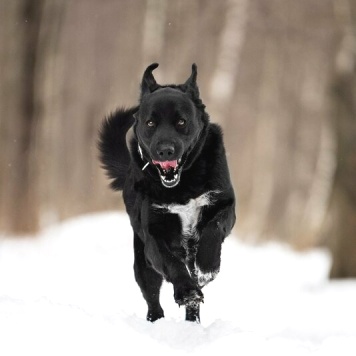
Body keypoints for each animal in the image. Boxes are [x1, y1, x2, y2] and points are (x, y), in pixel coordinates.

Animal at [98, 63, 235, 322]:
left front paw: (208, 267)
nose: (165, 150)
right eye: (150, 123)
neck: (183, 185)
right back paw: (158, 320)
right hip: (142, 262)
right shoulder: (155, 234)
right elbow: (172, 263)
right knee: (152, 299)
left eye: (181, 122)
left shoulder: (224, 205)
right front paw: (186, 291)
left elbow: (213, 229)